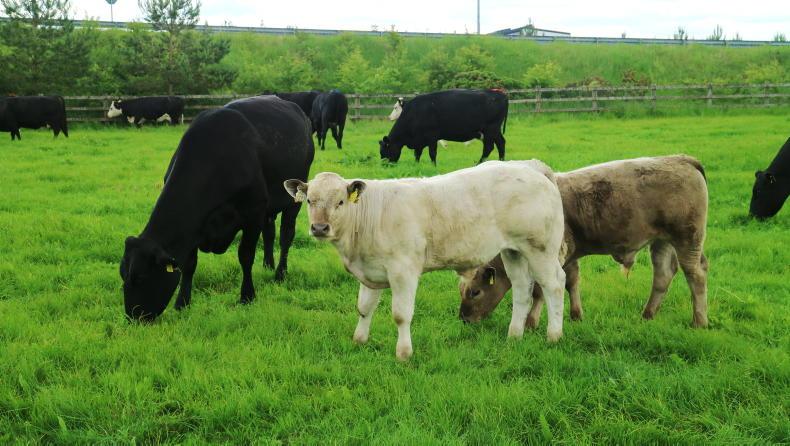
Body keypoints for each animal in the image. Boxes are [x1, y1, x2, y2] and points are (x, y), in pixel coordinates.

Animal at [120, 96, 314, 321]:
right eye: (122, 274)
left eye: (141, 278)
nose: (133, 317)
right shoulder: (195, 225)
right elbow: (189, 264)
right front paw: (182, 303)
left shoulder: (253, 213)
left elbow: (245, 256)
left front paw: (247, 296)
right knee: (269, 233)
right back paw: (268, 265)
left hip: (294, 199)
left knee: (285, 236)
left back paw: (280, 273)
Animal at [284, 160, 567, 361]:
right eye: (310, 201)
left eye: (341, 201)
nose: (319, 228)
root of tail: (533, 168)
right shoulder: (370, 270)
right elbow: (364, 308)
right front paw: (359, 341)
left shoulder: (403, 271)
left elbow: (401, 315)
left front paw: (403, 354)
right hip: (513, 251)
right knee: (521, 289)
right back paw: (514, 335)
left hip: (541, 249)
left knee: (554, 284)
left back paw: (554, 336)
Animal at [379, 89, 508, 165]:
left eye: (385, 151)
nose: (385, 166)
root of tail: (499, 94)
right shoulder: (419, 139)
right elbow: (417, 153)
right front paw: (416, 165)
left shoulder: (432, 136)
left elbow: (432, 153)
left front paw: (433, 166)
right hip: (495, 131)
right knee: (501, 143)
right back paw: (501, 161)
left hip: (490, 129)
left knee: (488, 147)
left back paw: (479, 164)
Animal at [458, 155, 709, 329]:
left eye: (475, 292)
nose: (464, 318)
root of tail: (682, 159)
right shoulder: (568, 256)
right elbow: (572, 282)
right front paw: (576, 315)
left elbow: (540, 290)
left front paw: (531, 322)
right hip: (662, 242)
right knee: (663, 276)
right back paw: (647, 314)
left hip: (687, 239)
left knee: (695, 276)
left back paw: (699, 321)